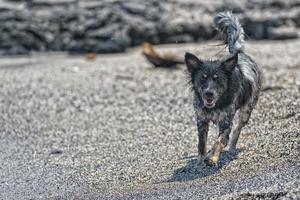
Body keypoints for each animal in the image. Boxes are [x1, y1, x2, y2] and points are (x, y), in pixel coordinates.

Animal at [184, 11, 262, 166]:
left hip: (247, 110)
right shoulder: (201, 120)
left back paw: (231, 146)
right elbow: (202, 143)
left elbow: (220, 140)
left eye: (217, 78)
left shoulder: (226, 121)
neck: (216, 104)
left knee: (237, 129)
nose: (208, 94)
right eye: (203, 78)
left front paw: (213, 158)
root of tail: (239, 53)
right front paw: (201, 159)